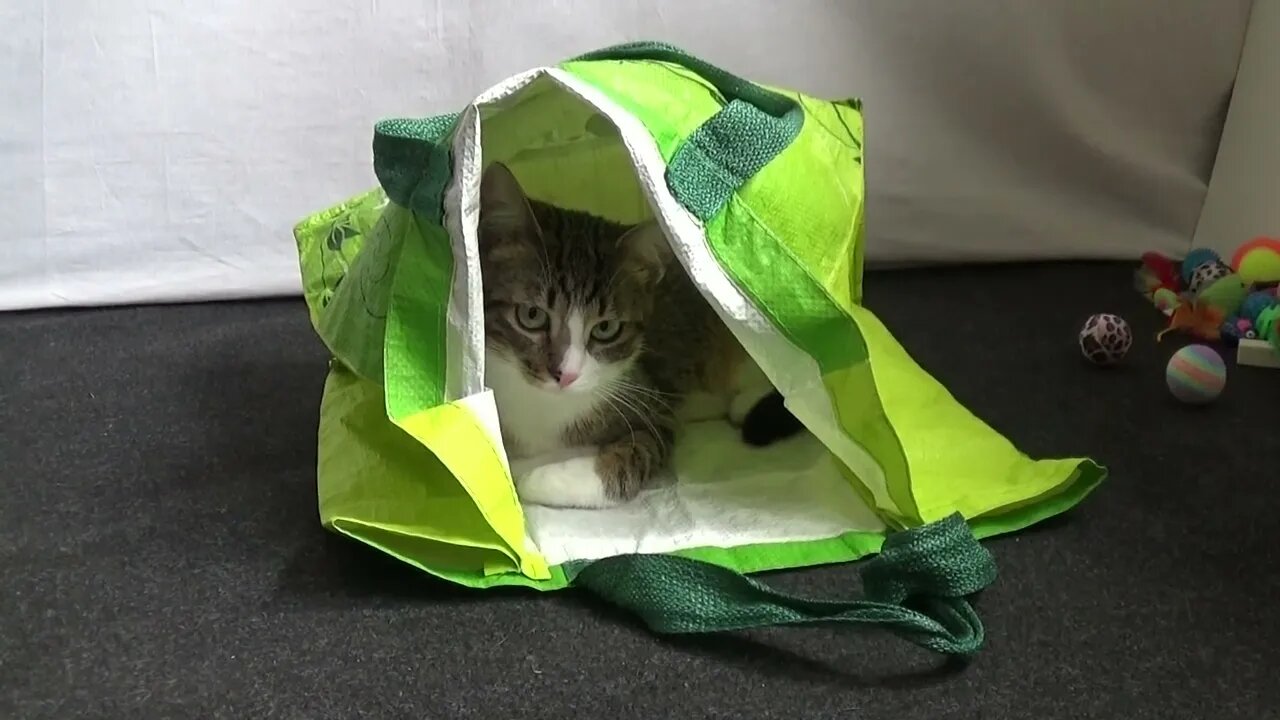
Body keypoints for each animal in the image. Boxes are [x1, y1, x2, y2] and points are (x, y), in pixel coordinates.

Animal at [481, 162, 798, 507]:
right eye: (532, 315)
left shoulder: (653, 410)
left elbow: (633, 458)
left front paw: (537, 478)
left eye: (605, 328)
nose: (565, 375)